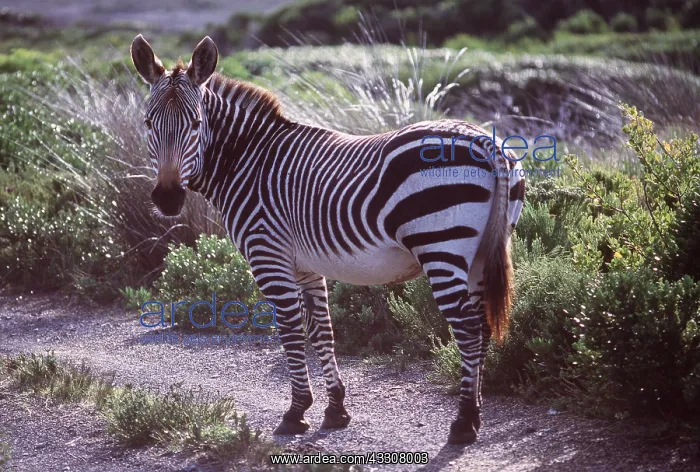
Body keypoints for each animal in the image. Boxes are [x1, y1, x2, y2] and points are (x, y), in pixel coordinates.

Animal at [131, 35, 525, 444]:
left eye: (195, 124)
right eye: (148, 123)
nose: (167, 198)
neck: (248, 163)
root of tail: (484, 140)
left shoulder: (268, 257)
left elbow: (291, 332)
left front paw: (296, 413)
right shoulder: (306, 266)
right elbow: (322, 332)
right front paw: (335, 410)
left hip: (441, 246)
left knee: (467, 329)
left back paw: (463, 423)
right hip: (482, 253)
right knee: (482, 326)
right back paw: (475, 412)